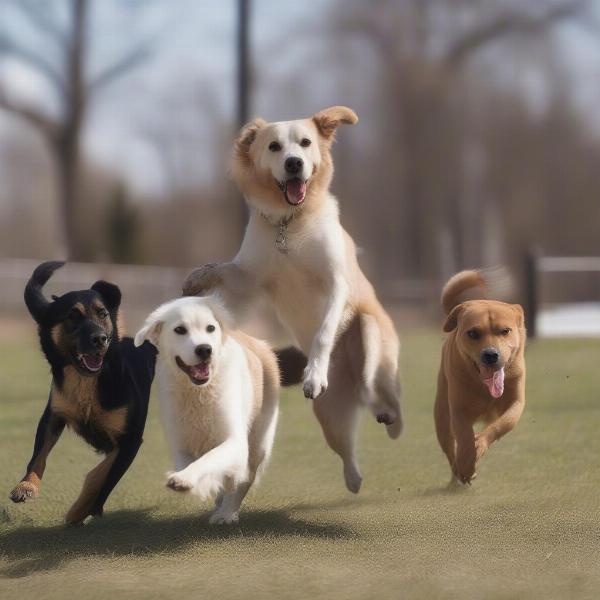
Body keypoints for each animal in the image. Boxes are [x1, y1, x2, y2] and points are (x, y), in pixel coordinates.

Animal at [9, 260, 155, 524]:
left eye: (102, 314)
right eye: (72, 316)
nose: (101, 339)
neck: (87, 381)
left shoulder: (131, 440)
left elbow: (105, 478)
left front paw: (84, 509)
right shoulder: (53, 414)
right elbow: (38, 456)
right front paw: (26, 486)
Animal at [134, 298, 278, 524]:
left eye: (210, 328)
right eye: (180, 330)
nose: (204, 349)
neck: (198, 392)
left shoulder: (235, 441)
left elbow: (210, 460)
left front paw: (185, 480)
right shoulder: (180, 443)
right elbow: (190, 462)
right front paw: (197, 483)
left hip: (259, 441)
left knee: (245, 479)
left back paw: (226, 513)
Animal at [183, 108, 404, 492]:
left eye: (305, 143)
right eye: (274, 146)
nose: (294, 163)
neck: (289, 224)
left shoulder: (335, 284)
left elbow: (324, 332)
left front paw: (314, 375)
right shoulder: (251, 279)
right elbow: (223, 268)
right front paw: (197, 278)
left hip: (369, 333)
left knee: (380, 390)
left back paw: (386, 414)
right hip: (329, 413)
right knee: (347, 442)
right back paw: (353, 477)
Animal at [436, 270, 524, 486]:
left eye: (505, 331)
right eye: (473, 333)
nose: (491, 354)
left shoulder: (516, 400)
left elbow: (502, 424)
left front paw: (479, 445)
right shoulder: (458, 408)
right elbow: (464, 437)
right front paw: (467, 464)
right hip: (441, 413)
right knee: (449, 445)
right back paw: (457, 472)